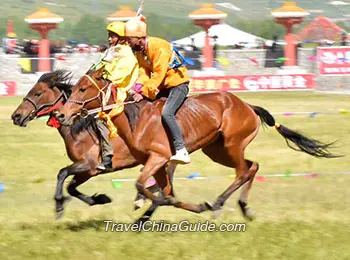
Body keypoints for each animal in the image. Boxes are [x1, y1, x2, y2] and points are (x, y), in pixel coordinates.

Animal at [10, 69, 161, 219]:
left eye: (38, 93)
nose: (16, 116)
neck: (80, 131)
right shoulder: (88, 172)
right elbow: (70, 188)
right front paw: (100, 199)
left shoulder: (89, 164)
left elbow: (62, 173)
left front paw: (59, 205)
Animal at [55, 66, 336, 219]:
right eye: (74, 87)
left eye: (82, 89)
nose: (61, 115)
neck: (136, 119)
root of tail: (247, 105)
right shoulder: (156, 163)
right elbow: (164, 191)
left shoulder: (158, 157)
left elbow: (144, 186)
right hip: (217, 150)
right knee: (252, 166)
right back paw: (243, 207)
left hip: (233, 144)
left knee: (242, 171)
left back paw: (219, 203)